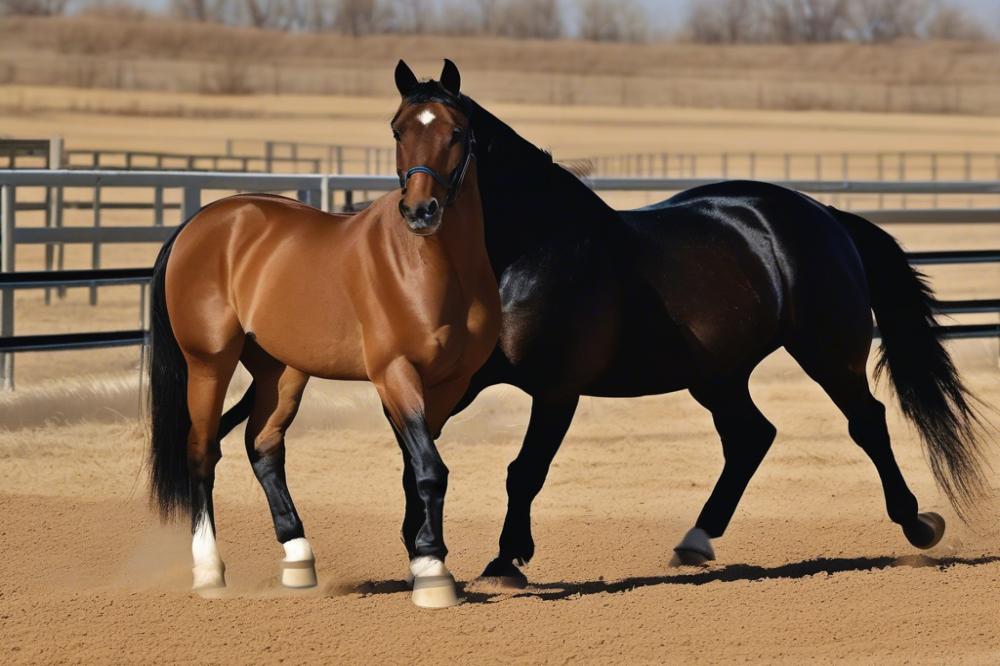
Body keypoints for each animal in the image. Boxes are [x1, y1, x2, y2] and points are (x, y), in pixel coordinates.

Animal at [146, 63, 500, 608]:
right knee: (202, 451)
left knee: (263, 446)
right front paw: (434, 574)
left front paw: (423, 560)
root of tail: (201, 223)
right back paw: (209, 573)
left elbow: (415, 470)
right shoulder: (395, 374)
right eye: (398, 131)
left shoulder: (449, 384)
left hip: (281, 370)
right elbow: (429, 469)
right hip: (208, 362)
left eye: (456, 132)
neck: (432, 269)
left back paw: (298, 559)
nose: (421, 211)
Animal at [215, 59, 988, 584]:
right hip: (716, 374)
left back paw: (918, 523)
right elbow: (417, 460)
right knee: (751, 437)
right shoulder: (452, 383)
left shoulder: (557, 389)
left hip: (827, 349)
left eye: (460, 134)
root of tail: (821, 214)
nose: (419, 212)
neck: (525, 250)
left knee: (867, 422)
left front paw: (505, 561)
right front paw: (422, 550)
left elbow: (523, 471)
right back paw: (695, 541)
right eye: (399, 128)